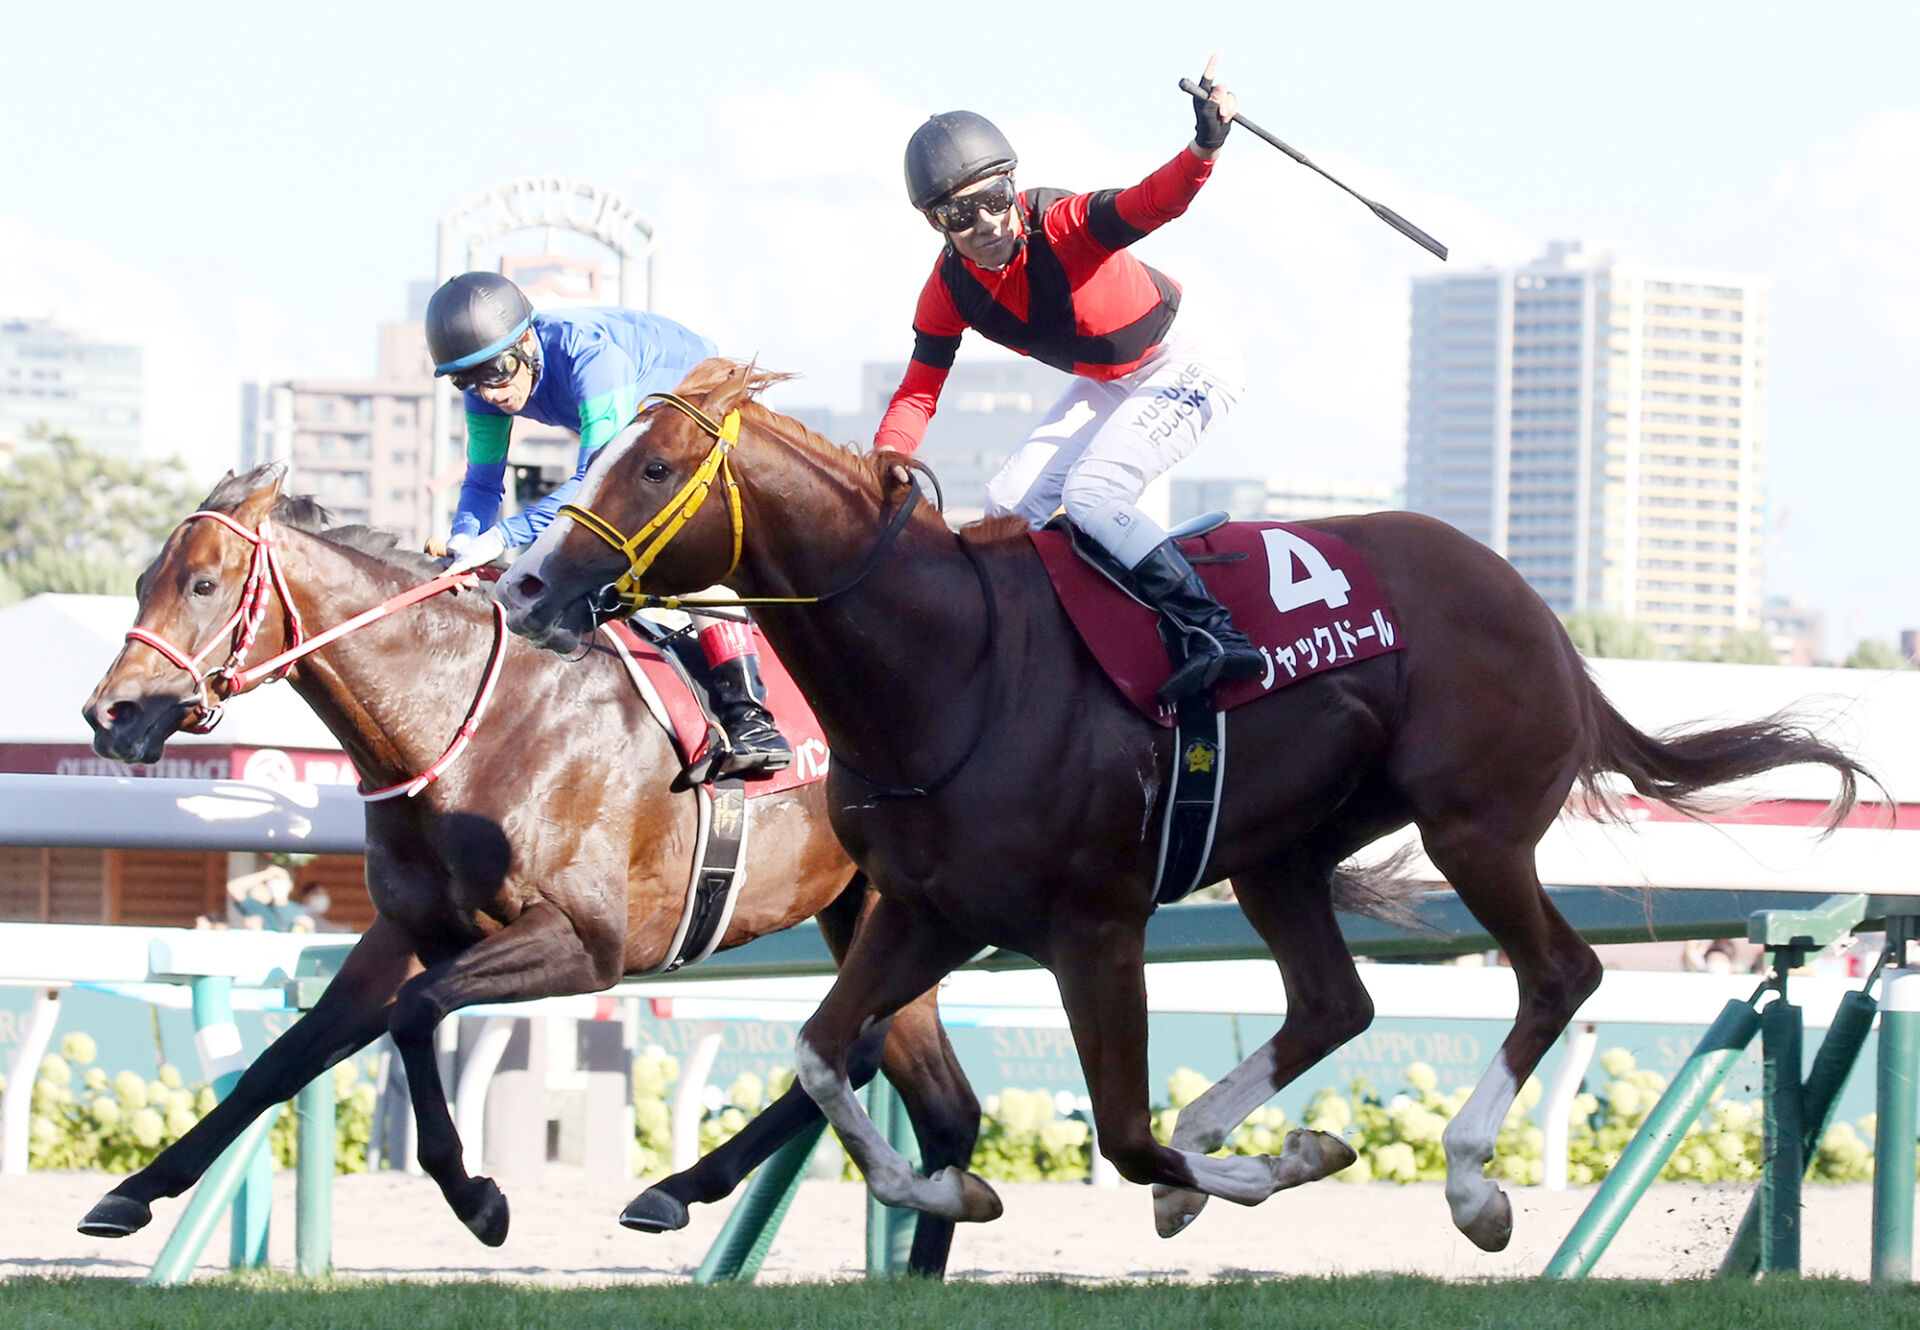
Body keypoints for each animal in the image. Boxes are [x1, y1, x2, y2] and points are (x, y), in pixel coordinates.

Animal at [72, 462, 975, 1274]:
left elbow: (414, 1015)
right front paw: (131, 1192)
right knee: (937, 1104)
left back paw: (677, 1189)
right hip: (874, 914)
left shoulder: (589, 942)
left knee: (861, 1060)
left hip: (886, 908)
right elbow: (283, 1059)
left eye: (203, 584)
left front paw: (478, 1199)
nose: (109, 714)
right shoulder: (405, 930)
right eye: (145, 580)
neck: (469, 728)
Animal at [499, 358, 1873, 1251]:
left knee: (1558, 973)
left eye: (656, 465)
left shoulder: (1096, 927)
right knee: (1334, 1002)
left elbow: (1120, 1133)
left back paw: (1471, 1185)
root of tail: (1534, 605)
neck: (951, 666)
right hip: (1283, 854)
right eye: (590, 456)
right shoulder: (927, 910)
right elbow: (825, 1056)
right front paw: (954, 1191)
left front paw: (1264, 1166)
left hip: (1474, 825)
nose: (522, 585)